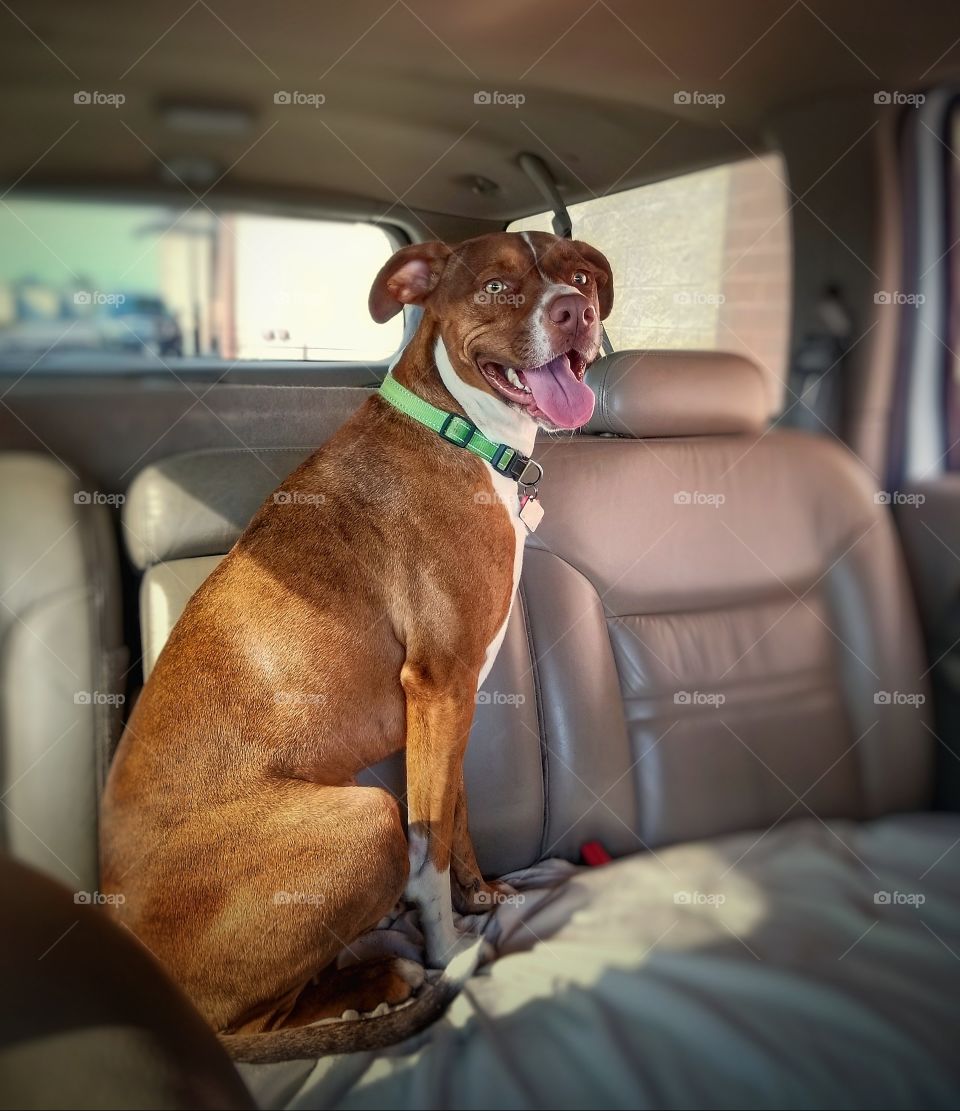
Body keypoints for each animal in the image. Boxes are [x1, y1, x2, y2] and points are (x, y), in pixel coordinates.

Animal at [101, 227, 613, 1057]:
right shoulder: (439, 687)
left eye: (578, 274)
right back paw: (381, 982)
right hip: (365, 817)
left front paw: (479, 896)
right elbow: (428, 847)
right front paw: (446, 942)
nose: (577, 311)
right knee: (266, 1016)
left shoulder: (450, 702)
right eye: (497, 286)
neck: (457, 423)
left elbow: (455, 814)